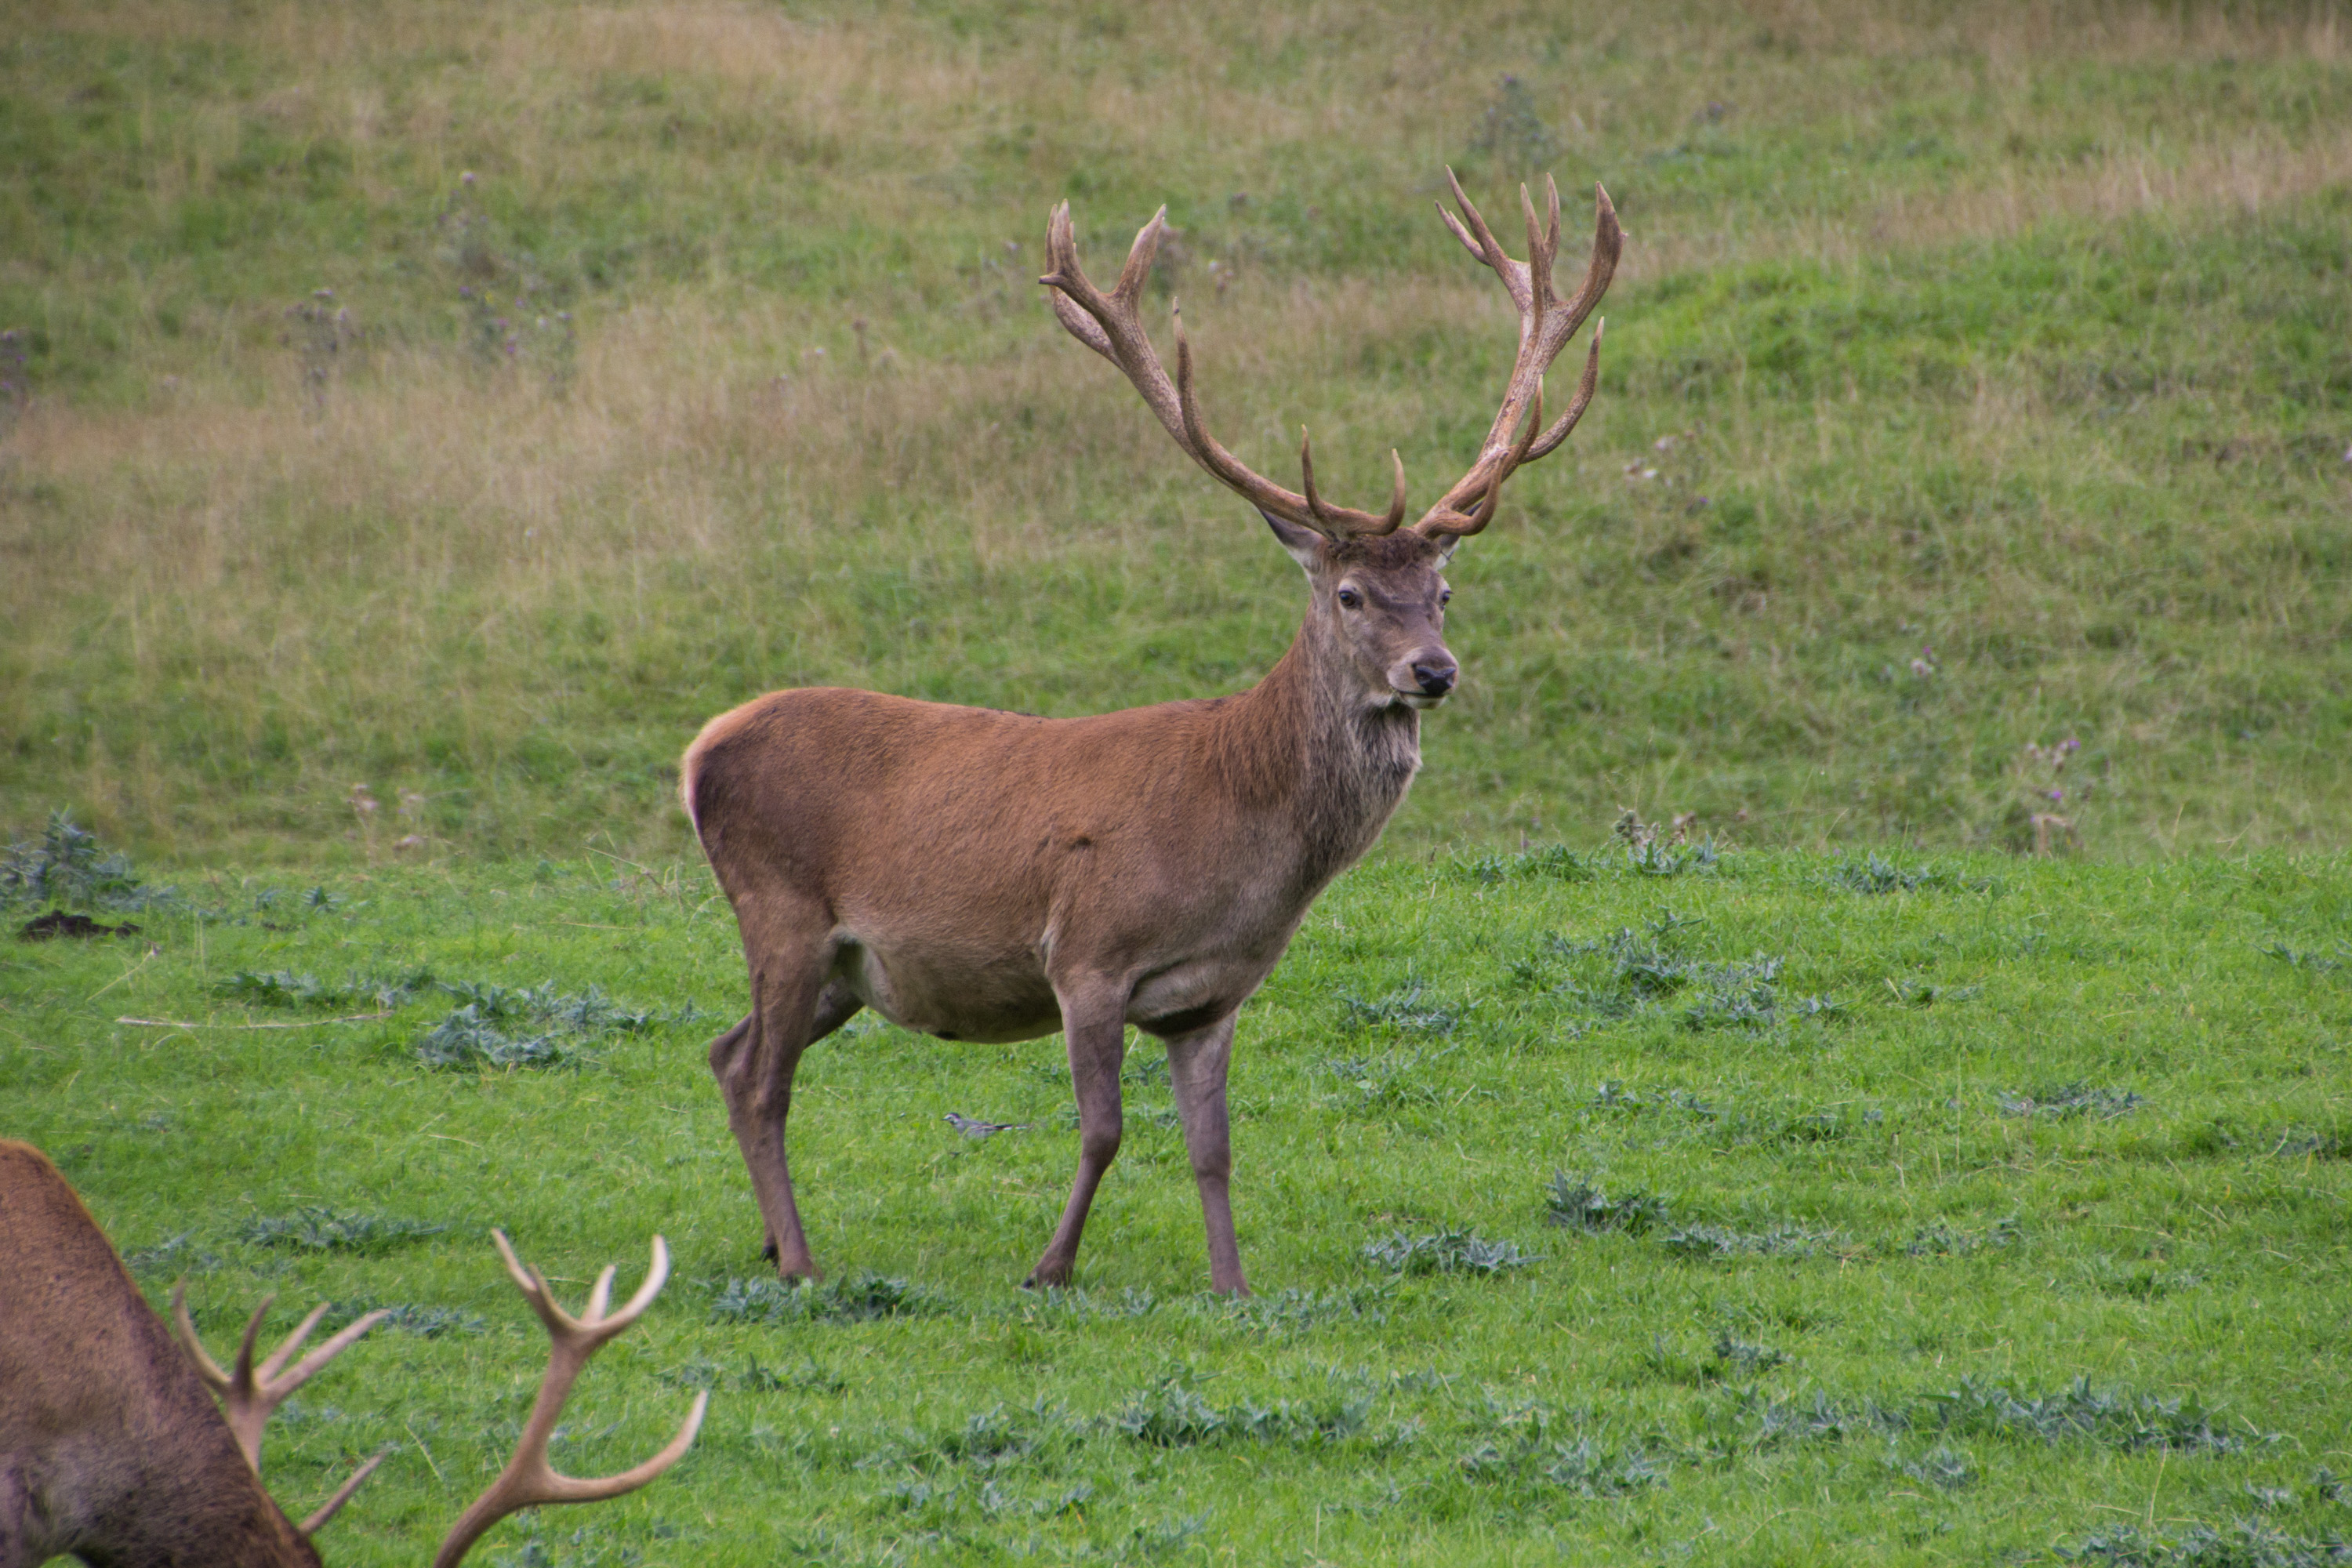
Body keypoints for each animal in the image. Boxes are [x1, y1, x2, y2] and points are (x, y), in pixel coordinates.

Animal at [682, 169, 1619, 1298]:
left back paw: (772, 1239)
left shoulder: (1208, 998)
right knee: (763, 1079)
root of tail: (700, 749)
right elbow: (1103, 1129)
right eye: (1350, 594)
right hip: (780, 907)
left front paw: (1233, 1285)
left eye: (1442, 592)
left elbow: (1212, 1147)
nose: (1432, 671)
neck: (1242, 842)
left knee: (727, 1053)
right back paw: (802, 1261)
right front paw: (1049, 1268)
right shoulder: (1087, 951)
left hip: (843, 966)